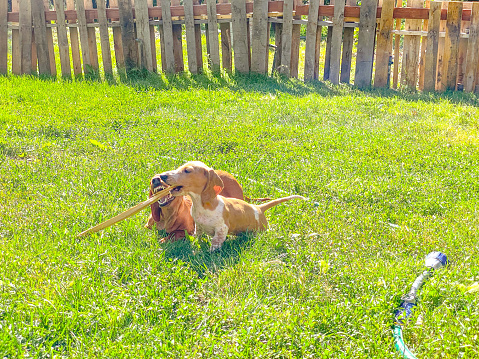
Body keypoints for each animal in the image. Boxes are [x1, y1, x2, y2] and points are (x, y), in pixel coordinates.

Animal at [159, 162, 306, 252]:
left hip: (261, 230)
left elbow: (216, 241)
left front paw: (210, 252)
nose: (162, 176)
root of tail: (259, 208)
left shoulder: (222, 228)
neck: (202, 205)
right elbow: (198, 236)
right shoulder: (198, 226)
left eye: (187, 170)